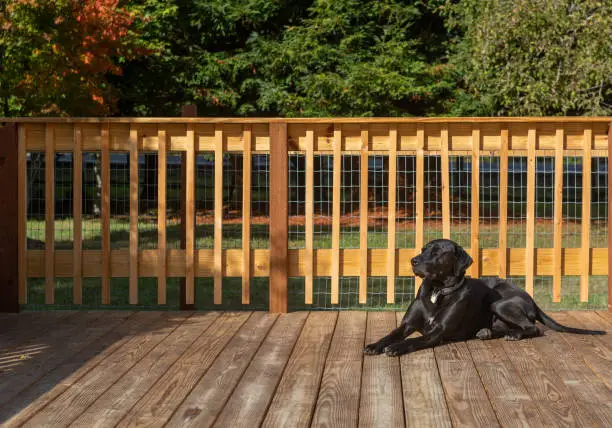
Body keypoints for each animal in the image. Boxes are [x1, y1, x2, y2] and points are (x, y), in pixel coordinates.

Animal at [364, 239, 604, 356]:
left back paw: (513, 335)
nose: (413, 261)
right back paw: (488, 332)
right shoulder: (406, 324)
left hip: (499, 303)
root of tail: (531, 299)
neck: (436, 291)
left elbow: (412, 340)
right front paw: (375, 345)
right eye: (423, 249)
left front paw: (396, 348)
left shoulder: (437, 332)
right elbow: (390, 335)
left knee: (533, 328)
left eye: (438, 252)